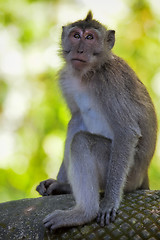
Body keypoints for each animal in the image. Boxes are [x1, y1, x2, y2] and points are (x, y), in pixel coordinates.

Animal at [36, 10, 156, 231]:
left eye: (90, 37)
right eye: (76, 35)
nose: (80, 50)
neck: (88, 74)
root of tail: (143, 175)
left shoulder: (111, 82)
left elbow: (126, 132)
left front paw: (109, 202)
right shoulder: (66, 79)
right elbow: (75, 118)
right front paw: (59, 183)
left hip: (130, 175)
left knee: (82, 141)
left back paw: (84, 213)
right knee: (76, 125)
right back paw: (66, 187)